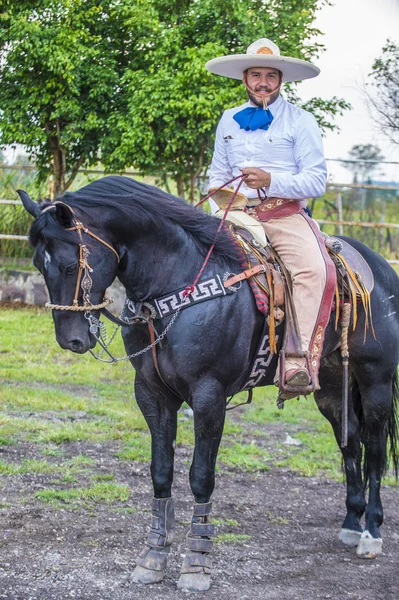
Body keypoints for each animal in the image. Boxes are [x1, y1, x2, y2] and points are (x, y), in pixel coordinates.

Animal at [18, 176, 399, 592]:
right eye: (39, 264)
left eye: (70, 264)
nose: (71, 339)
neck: (178, 284)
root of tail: (379, 268)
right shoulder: (151, 395)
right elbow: (161, 472)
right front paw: (153, 556)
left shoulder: (208, 396)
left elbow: (201, 477)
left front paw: (196, 564)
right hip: (330, 385)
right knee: (349, 444)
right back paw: (350, 523)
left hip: (376, 382)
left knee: (374, 450)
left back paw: (371, 533)